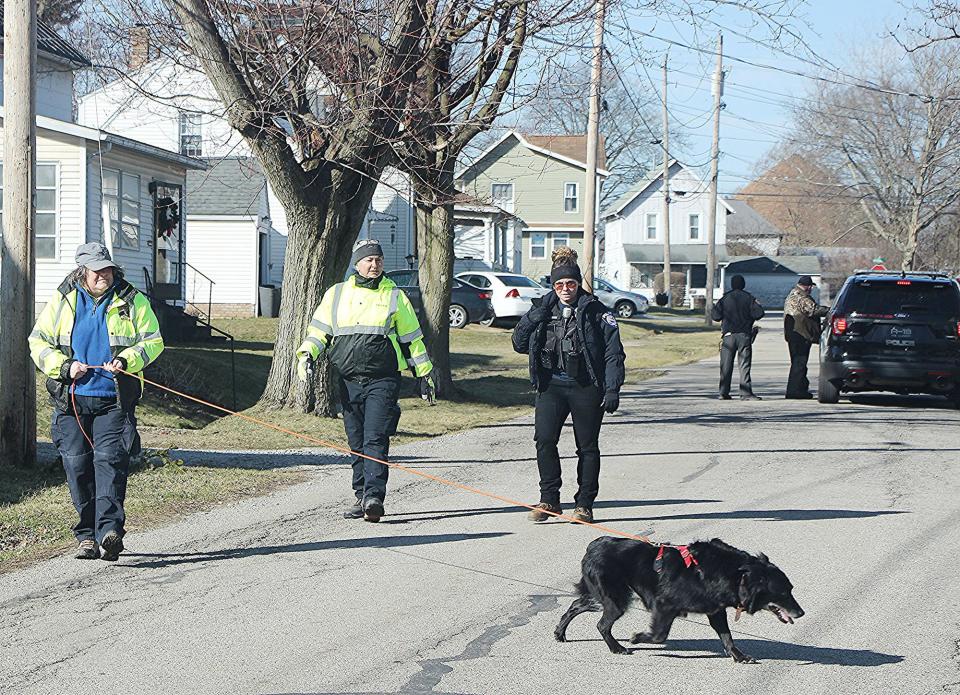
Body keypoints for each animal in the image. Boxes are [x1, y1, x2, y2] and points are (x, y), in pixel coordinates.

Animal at [556, 540, 804, 664]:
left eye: (790, 590)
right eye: (783, 593)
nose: (801, 613)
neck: (735, 573)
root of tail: (593, 546)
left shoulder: (715, 610)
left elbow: (727, 636)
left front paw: (738, 656)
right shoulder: (665, 605)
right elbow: (659, 635)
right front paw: (637, 638)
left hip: (608, 596)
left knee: (576, 605)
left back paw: (560, 633)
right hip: (617, 599)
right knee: (602, 624)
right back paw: (617, 648)